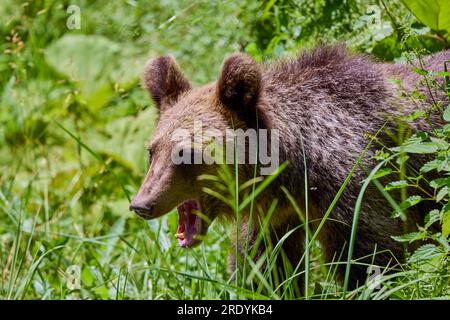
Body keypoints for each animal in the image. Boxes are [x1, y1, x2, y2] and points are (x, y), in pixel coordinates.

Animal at [128, 44, 448, 292]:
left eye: (186, 153)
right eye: (152, 151)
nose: (141, 204)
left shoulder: (358, 186)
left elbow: (369, 257)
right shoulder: (271, 218)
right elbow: (266, 267)